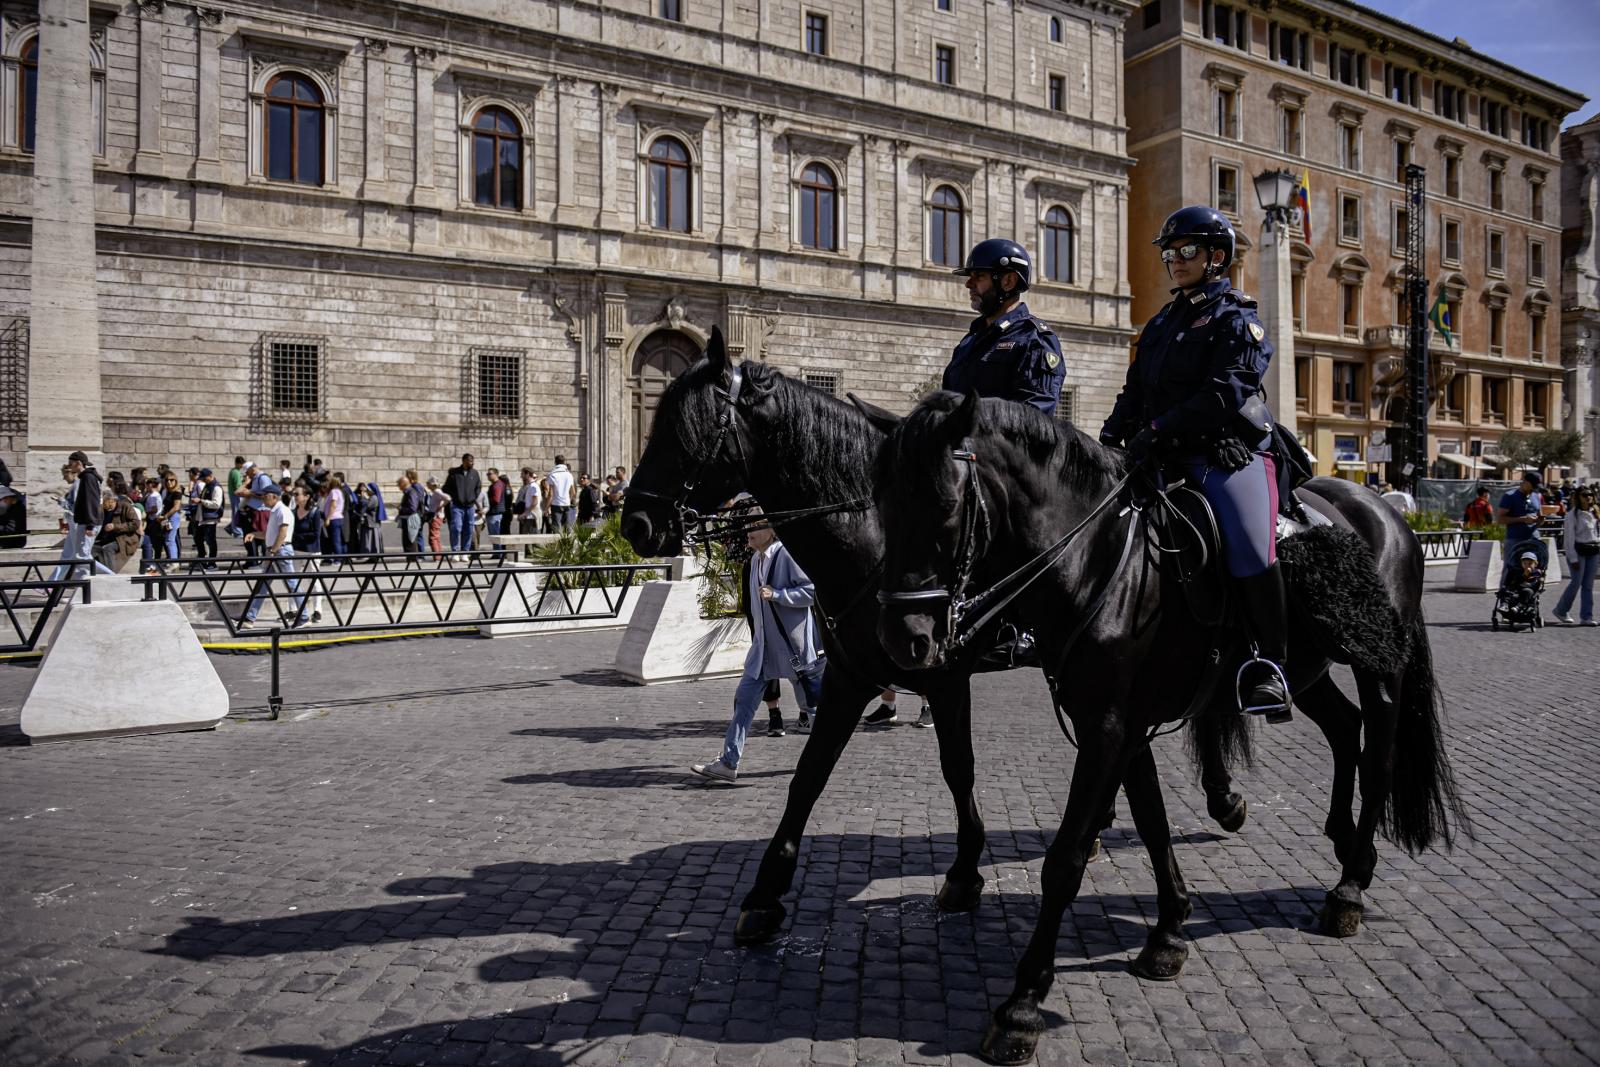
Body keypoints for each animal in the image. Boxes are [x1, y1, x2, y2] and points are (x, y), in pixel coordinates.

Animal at [619, 328, 1249, 954]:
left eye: (682, 429)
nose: (634, 525)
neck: (874, 541)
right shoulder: (849, 675)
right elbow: (809, 775)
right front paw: (765, 894)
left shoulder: (945, 678)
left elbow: (957, 767)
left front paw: (965, 872)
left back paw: (1218, 799)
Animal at [873, 390, 1467, 1065]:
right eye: (882, 503)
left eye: (945, 508)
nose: (902, 639)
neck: (1098, 558)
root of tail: (1386, 510)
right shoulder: (1124, 726)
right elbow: (1154, 824)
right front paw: (1168, 931)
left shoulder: (1106, 730)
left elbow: (1065, 859)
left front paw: (1022, 1003)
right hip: (1307, 669)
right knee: (1347, 731)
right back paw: (1347, 849)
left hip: (1379, 664)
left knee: (1381, 754)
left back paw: (1348, 890)